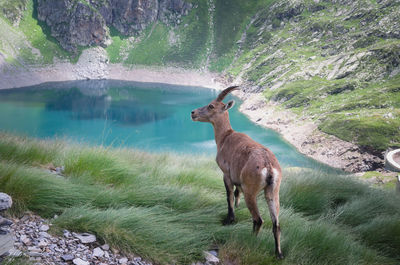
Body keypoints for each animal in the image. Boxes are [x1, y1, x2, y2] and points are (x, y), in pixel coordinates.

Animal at [191, 85, 282, 258]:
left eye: (211, 106)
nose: (193, 113)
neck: (225, 137)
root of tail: (268, 166)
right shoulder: (238, 181)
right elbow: (236, 193)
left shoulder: (226, 174)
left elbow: (229, 196)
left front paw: (229, 219)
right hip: (273, 191)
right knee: (276, 224)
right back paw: (278, 254)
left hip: (251, 191)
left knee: (258, 219)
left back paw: (250, 241)